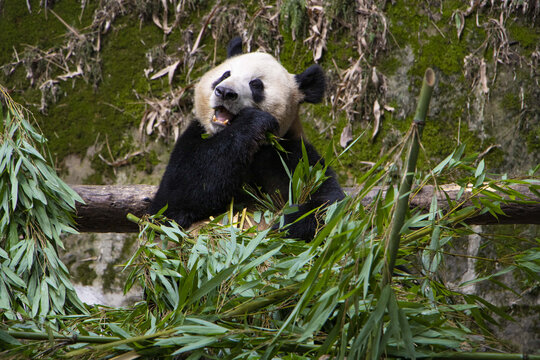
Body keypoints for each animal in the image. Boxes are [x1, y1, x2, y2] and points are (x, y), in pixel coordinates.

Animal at [149, 38, 342, 240]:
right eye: (225, 74)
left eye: (256, 84)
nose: (225, 92)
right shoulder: (194, 138)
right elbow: (174, 197)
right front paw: (252, 121)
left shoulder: (290, 152)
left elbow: (325, 201)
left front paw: (284, 225)